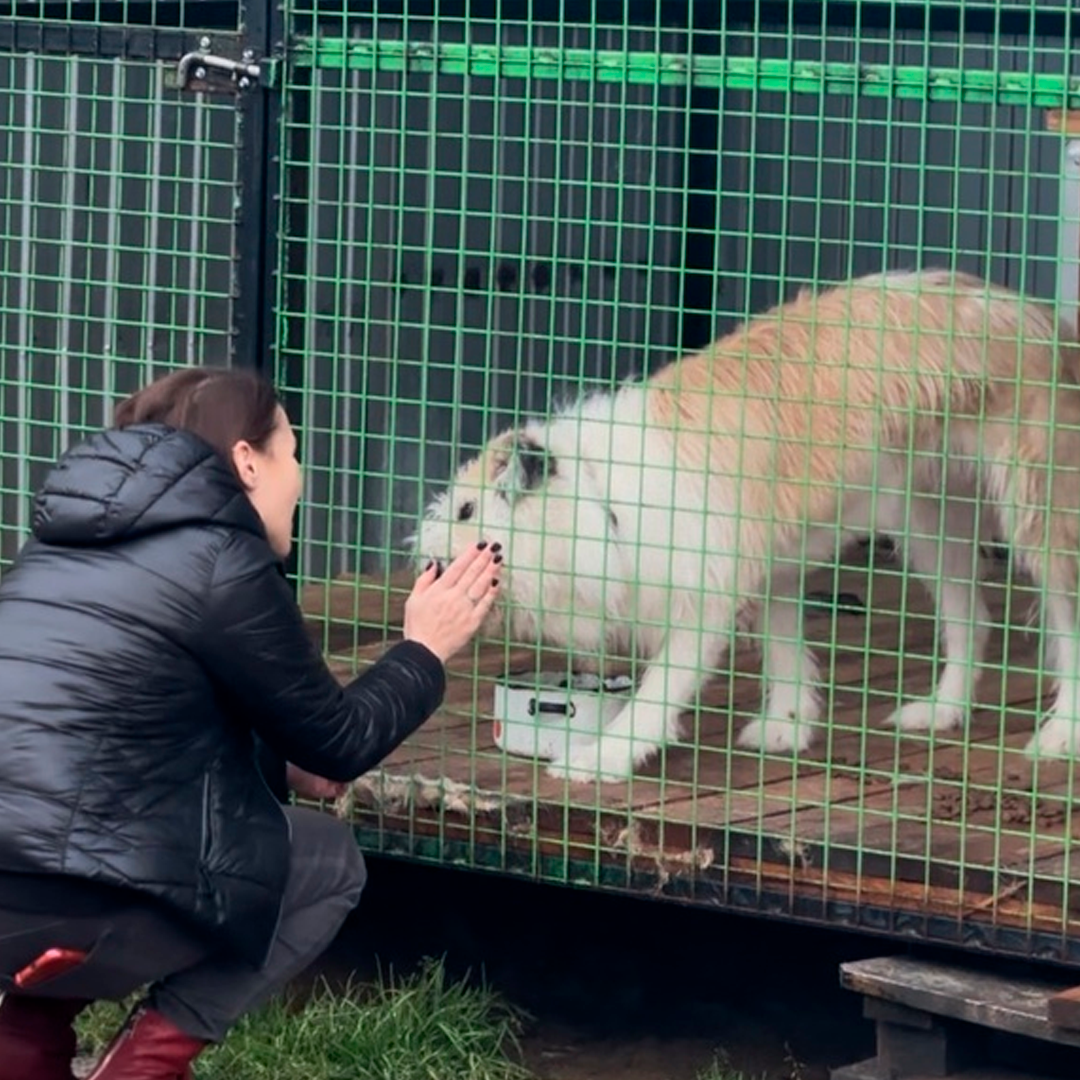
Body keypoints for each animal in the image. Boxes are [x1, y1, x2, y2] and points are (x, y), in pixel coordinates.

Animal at [410, 265, 1080, 781]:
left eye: (468, 511)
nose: (427, 561)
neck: (602, 500)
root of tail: (1041, 319)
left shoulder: (702, 603)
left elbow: (659, 691)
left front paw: (600, 761)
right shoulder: (771, 569)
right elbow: (785, 651)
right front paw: (787, 728)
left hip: (1037, 516)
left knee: (1062, 621)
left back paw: (1057, 737)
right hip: (927, 520)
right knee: (972, 617)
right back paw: (940, 711)